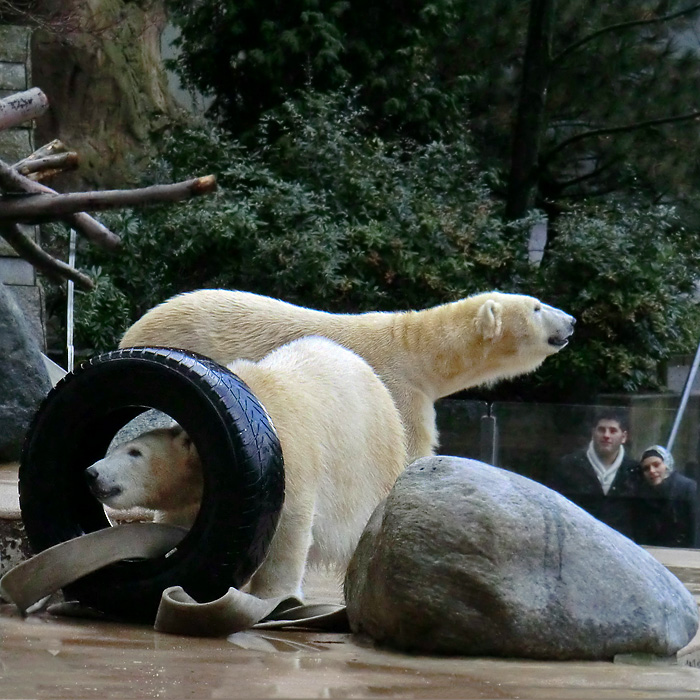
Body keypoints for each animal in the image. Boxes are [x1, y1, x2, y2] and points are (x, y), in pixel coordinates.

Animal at [85, 336, 408, 600]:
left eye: (134, 452)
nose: (92, 473)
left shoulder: (290, 462)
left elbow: (288, 528)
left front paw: (274, 597)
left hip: (371, 464)